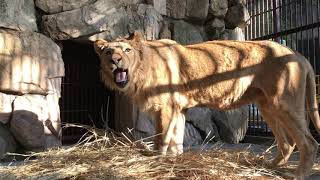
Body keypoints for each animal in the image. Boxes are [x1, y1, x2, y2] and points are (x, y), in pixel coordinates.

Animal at [94, 31, 320, 179]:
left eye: (126, 50)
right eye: (107, 53)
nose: (115, 60)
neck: (140, 71)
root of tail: (298, 54)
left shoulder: (166, 108)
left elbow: (161, 139)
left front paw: (156, 161)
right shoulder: (179, 108)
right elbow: (176, 139)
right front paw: (176, 161)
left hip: (284, 103)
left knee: (309, 142)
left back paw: (297, 174)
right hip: (267, 106)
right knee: (287, 143)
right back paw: (267, 166)